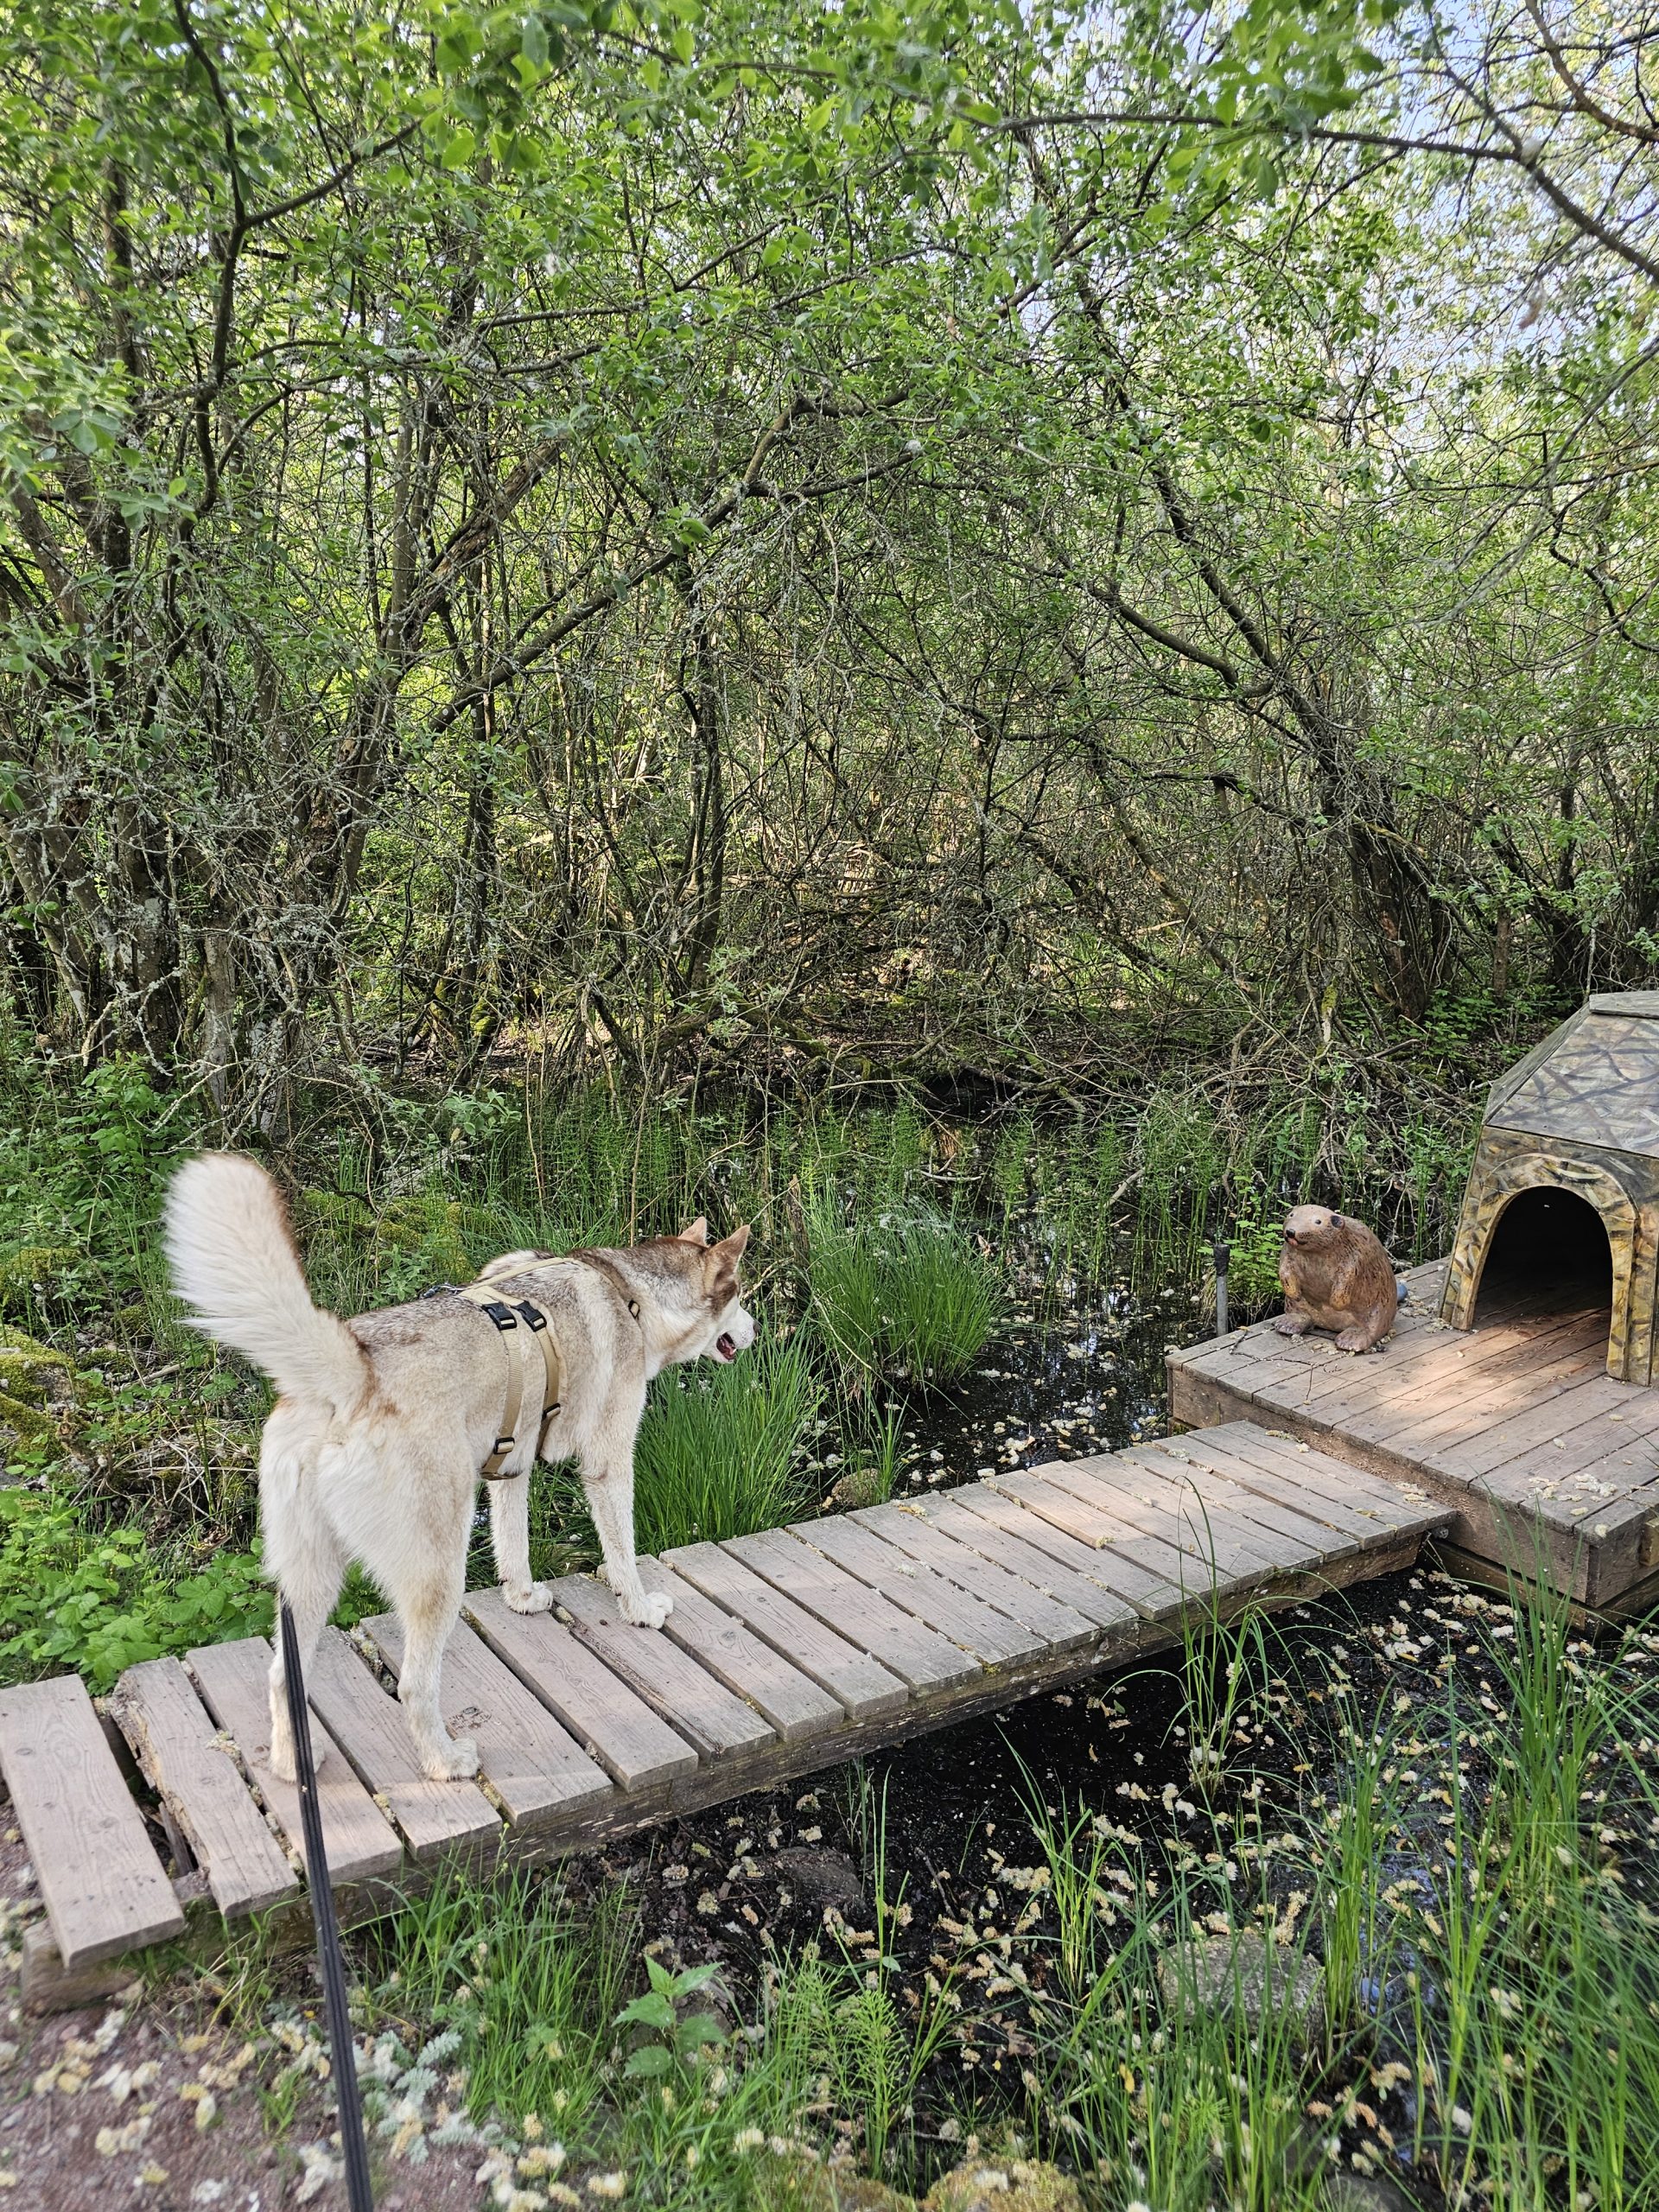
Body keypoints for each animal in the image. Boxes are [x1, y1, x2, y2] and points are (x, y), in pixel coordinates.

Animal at [164, 1154, 754, 1782]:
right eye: (740, 1297)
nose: (756, 1329)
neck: (633, 1293)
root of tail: (353, 1376)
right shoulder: (609, 1464)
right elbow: (623, 1555)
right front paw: (640, 1610)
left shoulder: (511, 1470)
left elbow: (514, 1547)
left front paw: (524, 1599)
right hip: (438, 1575)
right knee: (413, 1687)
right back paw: (444, 1761)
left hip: (308, 1577)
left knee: (281, 1677)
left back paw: (291, 1763)